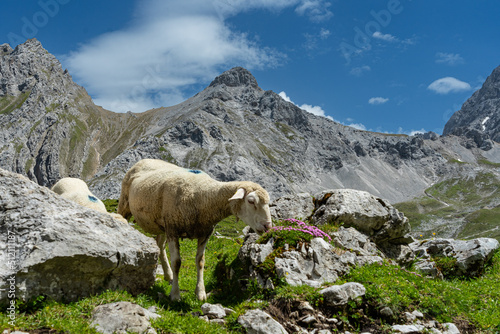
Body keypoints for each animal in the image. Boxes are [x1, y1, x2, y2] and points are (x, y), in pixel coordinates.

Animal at [117, 159, 274, 300]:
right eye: (251, 201)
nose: (268, 226)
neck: (202, 196)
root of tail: (144, 160)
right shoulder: (173, 229)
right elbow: (177, 262)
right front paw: (175, 295)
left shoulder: (205, 233)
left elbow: (200, 262)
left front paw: (200, 293)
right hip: (125, 204)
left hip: (162, 224)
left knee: (160, 246)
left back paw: (168, 275)